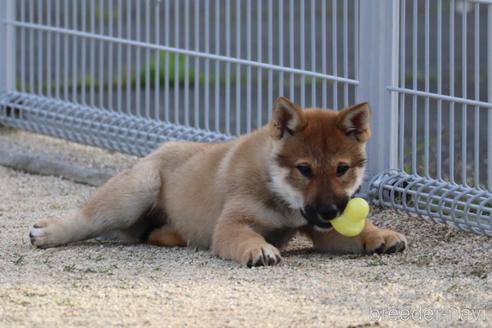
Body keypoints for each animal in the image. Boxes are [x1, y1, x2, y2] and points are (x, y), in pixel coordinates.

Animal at [28, 96, 406, 266]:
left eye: (342, 169)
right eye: (304, 170)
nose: (330, 211)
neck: (274, 186)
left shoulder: (318, 230)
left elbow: (355, 233)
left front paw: (381, 235)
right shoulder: (231, 225)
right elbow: (244, 237)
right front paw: (258, 249)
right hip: (136, 190)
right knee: (87, 218)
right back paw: (48, 232)